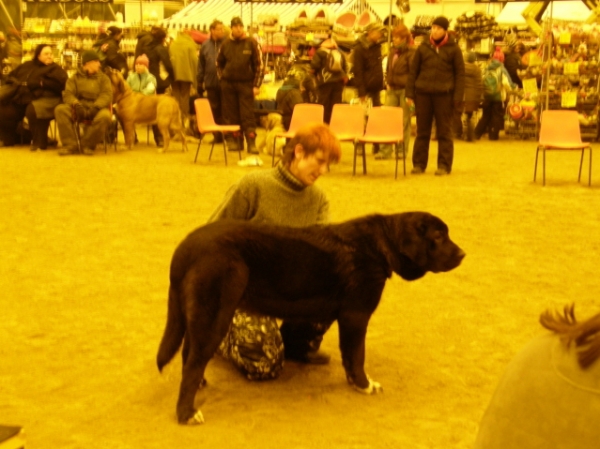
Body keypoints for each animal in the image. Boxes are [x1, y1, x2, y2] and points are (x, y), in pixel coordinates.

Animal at [157, 212, 466, 422]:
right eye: (438, 237)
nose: (463, 253)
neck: (380, 245)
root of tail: (184, 248)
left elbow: (349, 357)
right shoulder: (356, 316)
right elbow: (357, 356)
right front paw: (365, 385)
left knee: (188, 354)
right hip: (215, 315)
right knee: (193, 362)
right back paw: (186, 414)